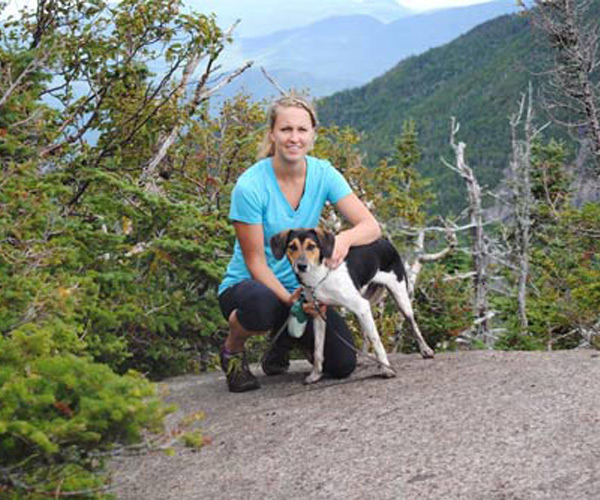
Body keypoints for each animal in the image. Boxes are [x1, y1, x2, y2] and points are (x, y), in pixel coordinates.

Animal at [270, 229, 434, 384]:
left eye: (311, 246)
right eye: (292, 247)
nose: (301, 266)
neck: (319, 277)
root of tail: (384, 241)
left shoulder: (360, 305)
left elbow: (377, 340)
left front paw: (387, 369)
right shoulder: (318, 313)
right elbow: (318, 349)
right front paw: (316, 374)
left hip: (399, 297)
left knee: (412, 323)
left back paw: (425, 350)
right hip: (362, 309)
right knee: (366, 334)